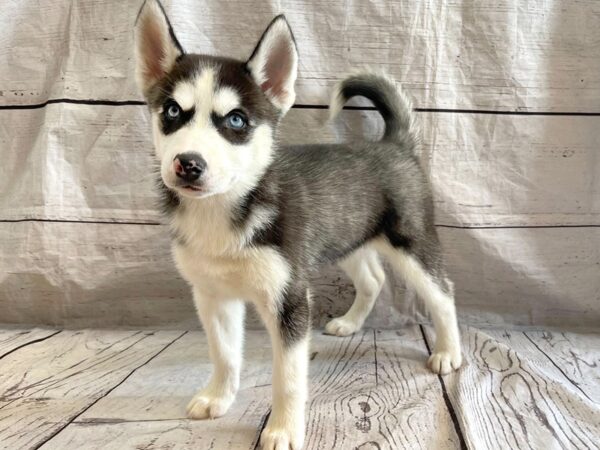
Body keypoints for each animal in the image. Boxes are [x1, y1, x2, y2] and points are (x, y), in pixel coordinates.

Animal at [136, 1, 462, 448]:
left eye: (236, 121)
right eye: (171, 111)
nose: (188, 163)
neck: (223, 210)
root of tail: (393, 144)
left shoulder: (289, 299)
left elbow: (287, 377)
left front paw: (283, 429)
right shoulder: (212, 295)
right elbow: (224, 354)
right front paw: (219, 396)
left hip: (411, 244)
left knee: (442, 292)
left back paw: (449, 352)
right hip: (344, 239)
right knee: (374, 279)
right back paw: (350, 323)